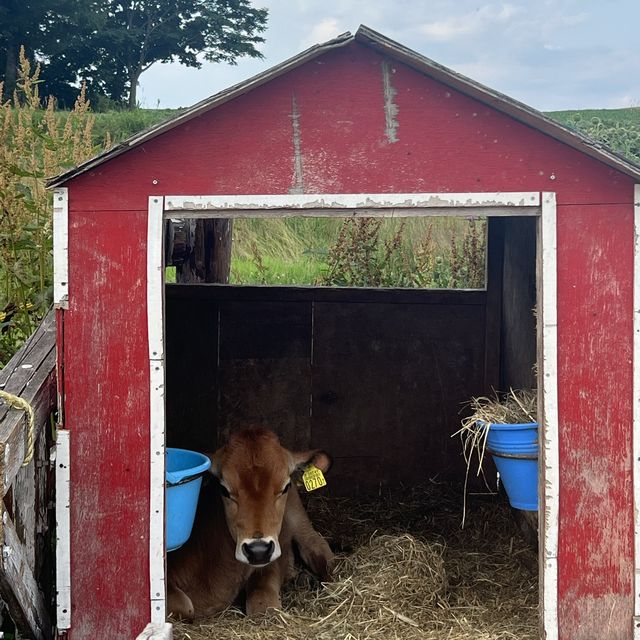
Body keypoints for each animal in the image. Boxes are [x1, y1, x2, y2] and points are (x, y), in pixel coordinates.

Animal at [165, 430, 336, 620]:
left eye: (285, 487)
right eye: (224, 490)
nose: (258, 550)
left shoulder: (270, 563)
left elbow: (263, 602)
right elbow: (183, 606)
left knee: (316, 546)